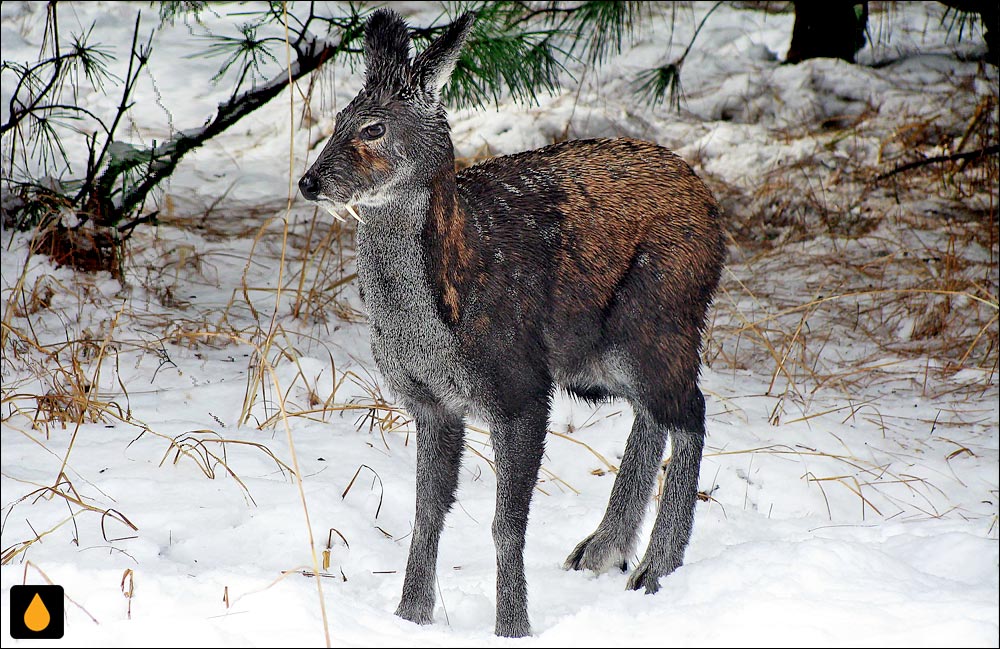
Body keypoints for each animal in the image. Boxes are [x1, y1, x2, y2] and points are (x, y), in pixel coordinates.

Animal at [296, 10, 728, 636]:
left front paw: (513, 626)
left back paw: (655, 568)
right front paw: (410, 617)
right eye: (337, 121)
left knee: (689, 408)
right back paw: (602, 550)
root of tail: (707, 198)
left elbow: (506, 523)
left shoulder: (520, 389)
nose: (310, 182)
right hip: (596, 355)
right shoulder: (430, 403)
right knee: (655, 413)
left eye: (374, 128)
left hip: (655, 317)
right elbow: (426, 513)